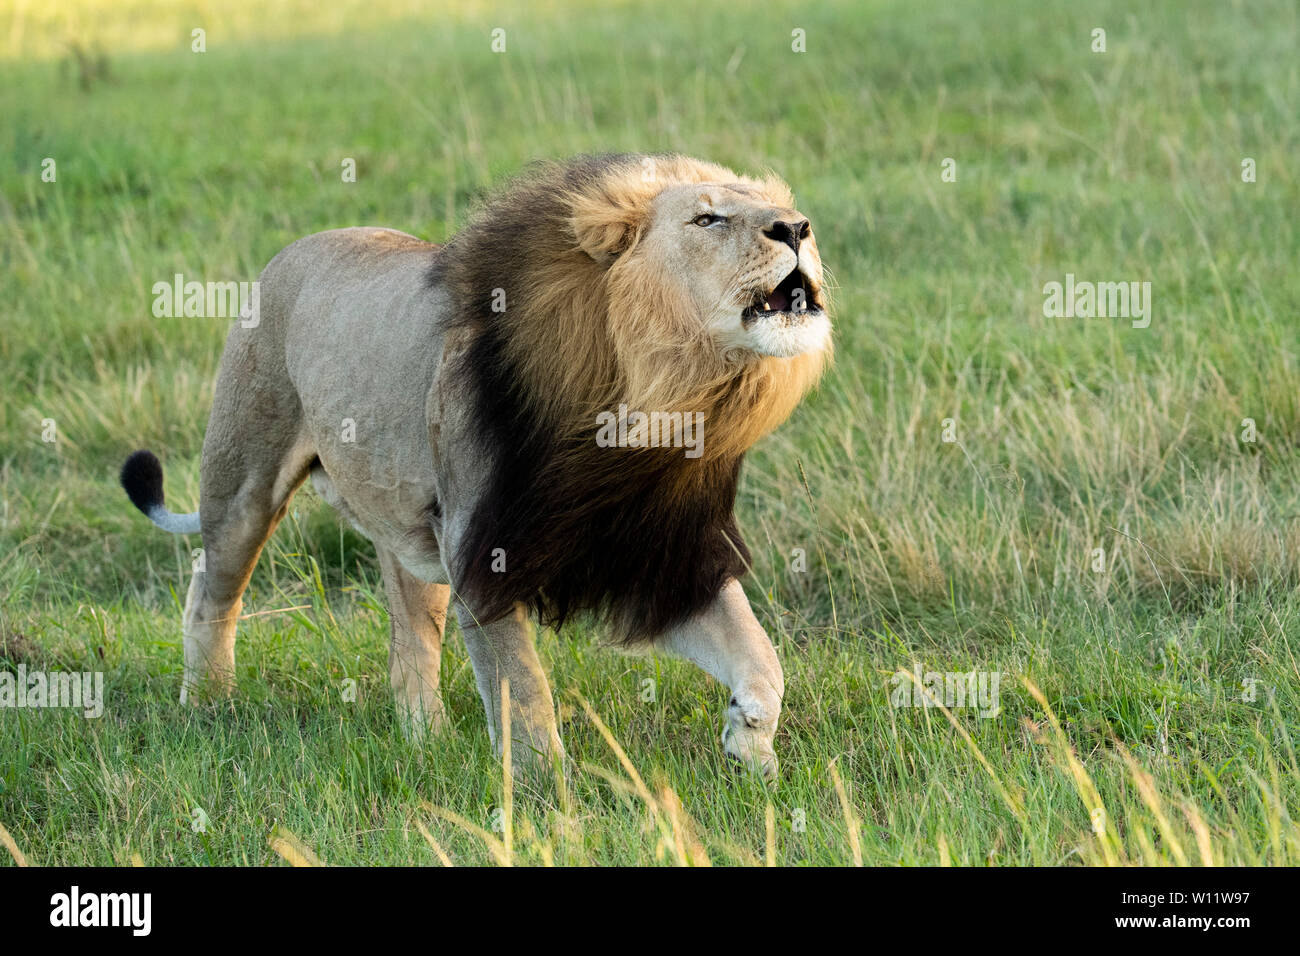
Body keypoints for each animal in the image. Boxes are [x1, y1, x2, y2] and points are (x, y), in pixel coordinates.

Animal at [120, 153, 831, 777]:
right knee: (211, 595)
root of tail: (294, 249)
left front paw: (750, 749)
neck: (650, 394)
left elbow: (762, 657)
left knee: (410, 643)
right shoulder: (484, 550)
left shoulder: (659, 551)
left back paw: (426, 744)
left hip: (412, 535)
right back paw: (209, 707)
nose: (798, 227)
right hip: (244, 484)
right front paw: (550, 796)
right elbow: (523, 685)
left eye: (781, 208)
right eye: (707, 219)